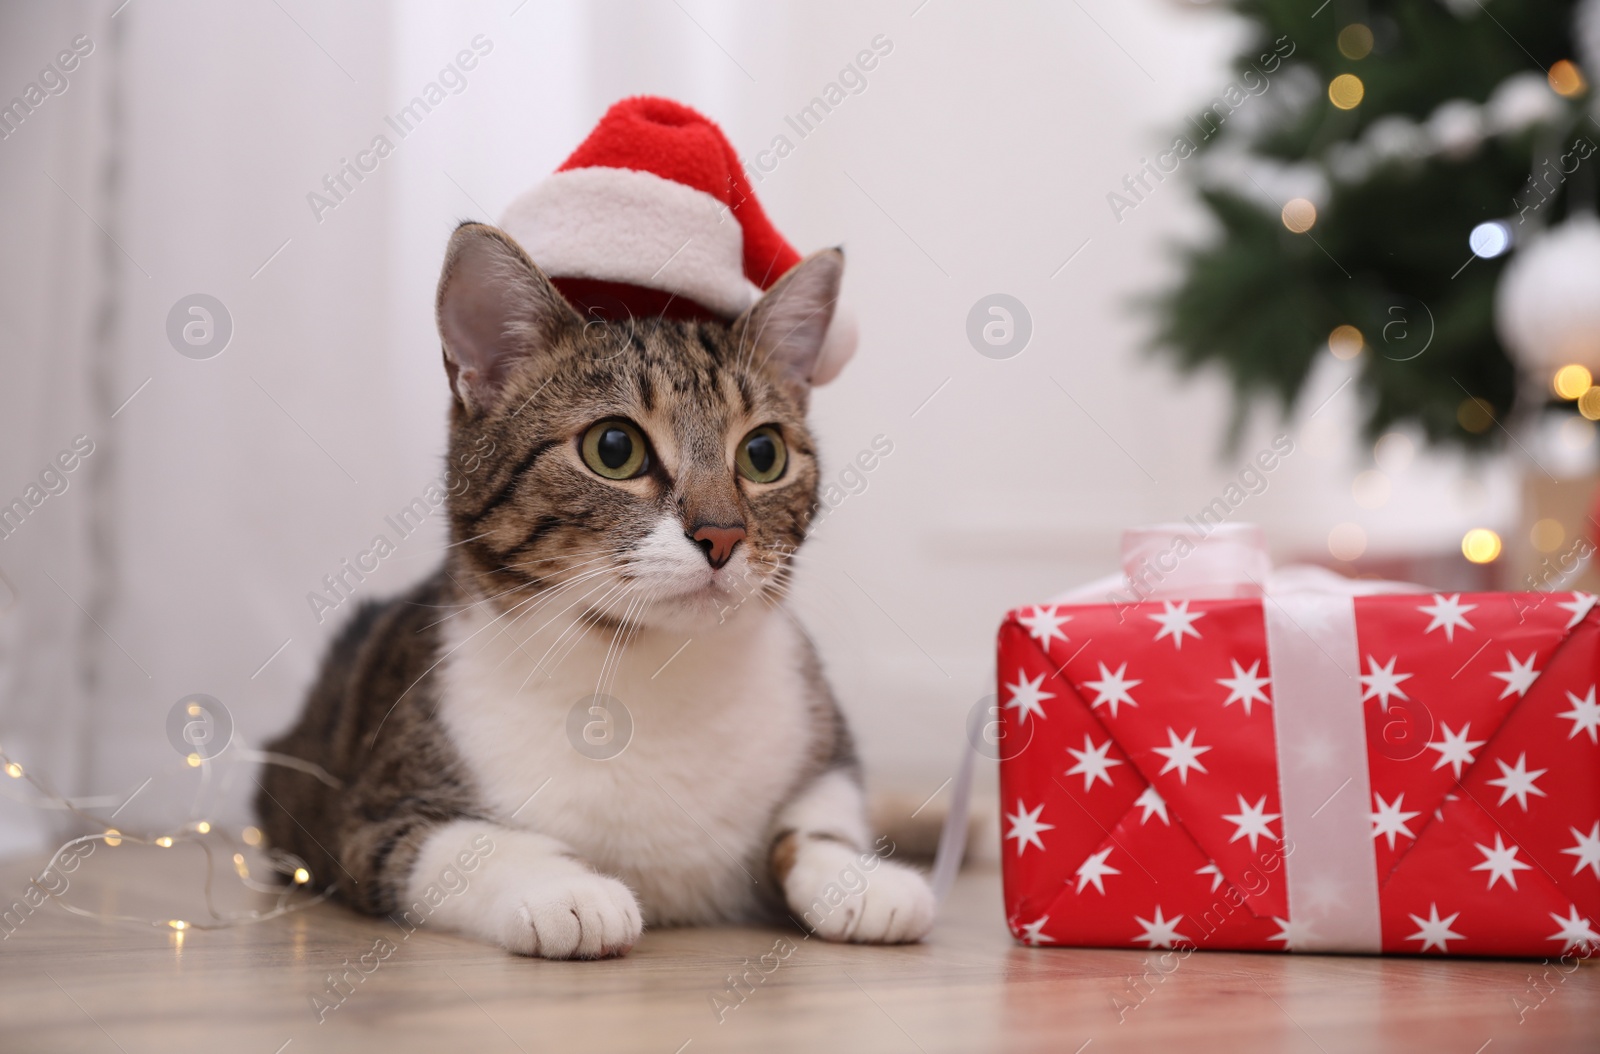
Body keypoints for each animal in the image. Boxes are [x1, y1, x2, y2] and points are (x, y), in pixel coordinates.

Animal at [257, 220, 934, 959]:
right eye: (615, 448)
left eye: (763, 455)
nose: (722, 534)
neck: (647, 670)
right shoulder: (371, 818)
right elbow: (462, 844)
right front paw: (565, 890)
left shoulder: (826, 749)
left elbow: (817, 821)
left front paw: (860, 877)